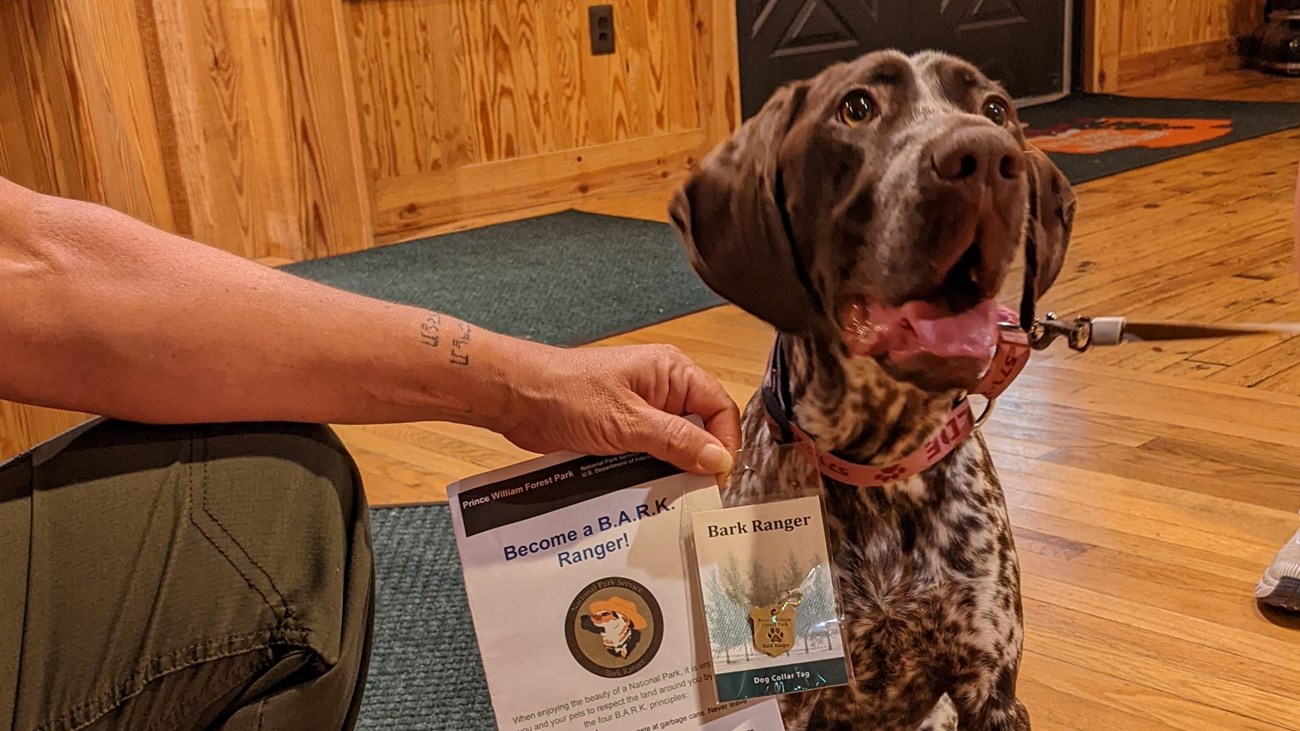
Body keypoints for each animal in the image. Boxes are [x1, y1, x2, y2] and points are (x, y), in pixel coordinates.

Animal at [670, 49, 1076, 728]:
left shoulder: (991, 692)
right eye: (857, 107)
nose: (985, 155)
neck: (881, 467)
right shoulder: (791, 695)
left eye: (996, 109)